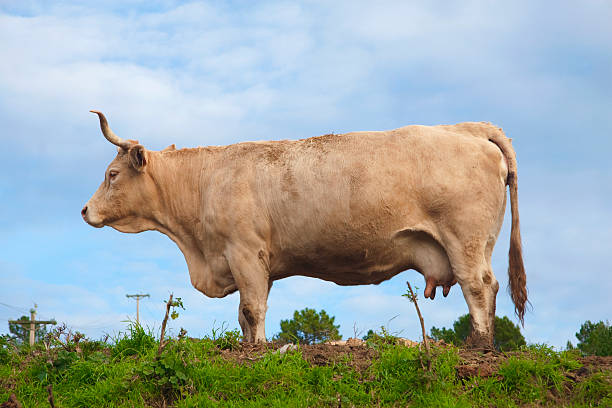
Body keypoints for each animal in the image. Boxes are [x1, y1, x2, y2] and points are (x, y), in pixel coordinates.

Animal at [82, 110, 524, 350]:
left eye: (112, 174)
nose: (85, 210)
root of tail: (466, 127)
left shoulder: (244, 252)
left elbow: (251, 308)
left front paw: (258, 349)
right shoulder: (256, 263)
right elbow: (245, 313)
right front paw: (249, 345)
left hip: (465, 241)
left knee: (478, 287)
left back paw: (479, 344)